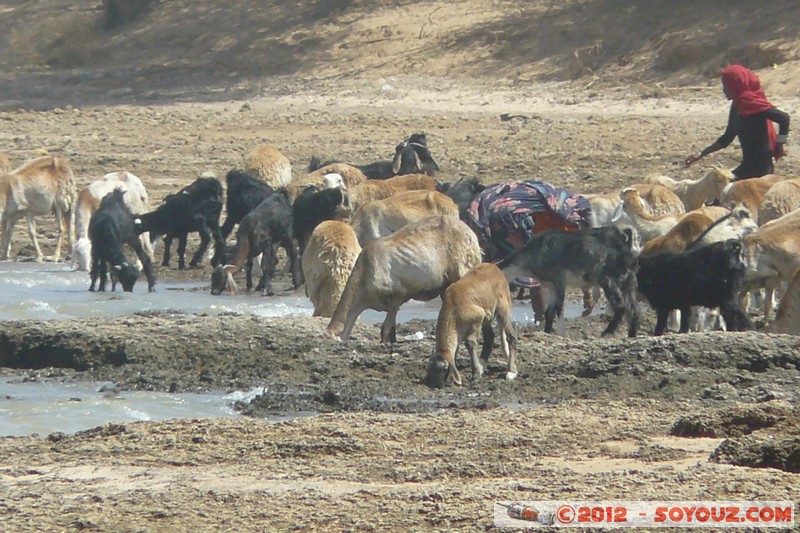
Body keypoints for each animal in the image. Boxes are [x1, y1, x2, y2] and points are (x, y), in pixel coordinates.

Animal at [326, 214, 482, 342]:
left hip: (464, 267)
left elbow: (385, 329)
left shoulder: (397, 294)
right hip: (446, 283)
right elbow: (392, 329)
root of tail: (472, 234)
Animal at [496, 225, 640, 336]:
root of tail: (625, 242)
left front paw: (561, 334)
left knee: (621, 307)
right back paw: (631, 335)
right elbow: (549, 312)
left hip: (608, 279)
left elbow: (559, 309)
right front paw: (547, 332)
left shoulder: (559, 281)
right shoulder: (550, 285)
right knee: (634, 310)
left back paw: (606, 333)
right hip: (628, 280)